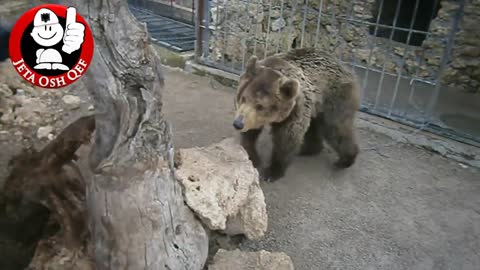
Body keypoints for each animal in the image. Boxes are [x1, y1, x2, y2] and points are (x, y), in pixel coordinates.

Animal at [232, 47, 360, 182]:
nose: (238, 123)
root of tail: (347, 69)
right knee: (315, 126)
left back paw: (345, 160)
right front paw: (251, 156)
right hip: (316, 105)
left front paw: (271, 172)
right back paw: (308, 149)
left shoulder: (295, 109)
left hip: (335, 98)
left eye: (260, 106)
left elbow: (287, 138)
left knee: (336, 127)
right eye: (243, 98)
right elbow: (251, 134)